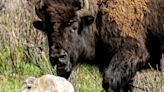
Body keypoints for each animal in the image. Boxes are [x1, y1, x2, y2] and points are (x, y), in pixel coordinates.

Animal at [32, 0, 164, 91]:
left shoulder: (132, 53)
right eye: (47, 29)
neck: (97, 16)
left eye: (74, 26)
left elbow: (109, 81)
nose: (58, 57)